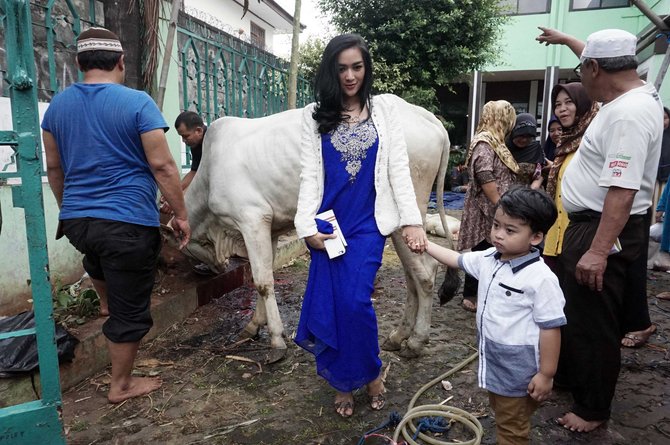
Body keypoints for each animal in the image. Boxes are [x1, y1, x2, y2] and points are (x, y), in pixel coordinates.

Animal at [176, 93, 454, 358]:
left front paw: (276, 340)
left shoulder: (251, 220)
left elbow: (263, 282)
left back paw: (416, 341)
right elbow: (263, 277)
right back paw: (398, 336)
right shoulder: (269, 228)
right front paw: (254, 325)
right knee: (414, 274)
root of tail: (426, 117)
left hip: (404, 219)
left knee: (425, 273)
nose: (213, 268)